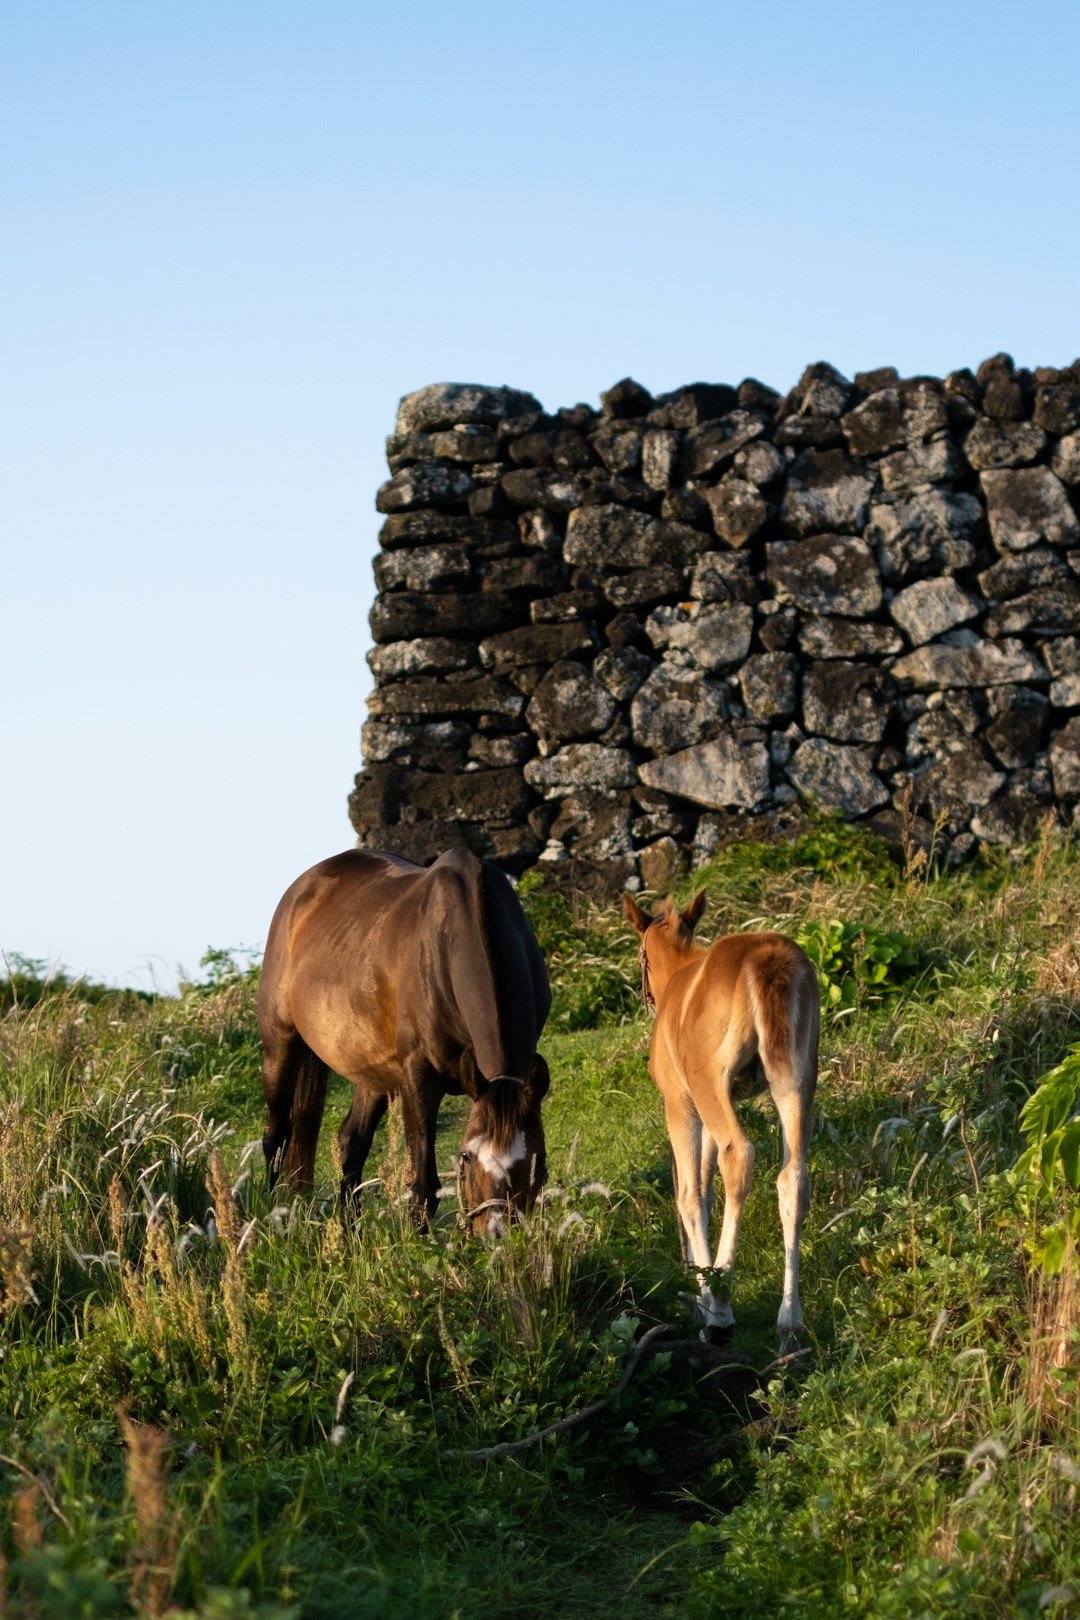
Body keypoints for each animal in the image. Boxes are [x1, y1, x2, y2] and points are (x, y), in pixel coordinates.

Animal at [258, 847, 551, 1233]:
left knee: (351, 1141)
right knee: (275, 1135)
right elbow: (424, 1184)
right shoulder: (419, 1074)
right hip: (279, 1046)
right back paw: (271, 1216)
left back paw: (351, 1230)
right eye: (466, 1156)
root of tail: (300, 890)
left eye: (537, 1159)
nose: (496, 1231)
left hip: (371, 1071)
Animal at [623, 889, 819, 1347]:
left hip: (709, 1084)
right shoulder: (719, 1101)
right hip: (796, 1080)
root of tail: (767, 960)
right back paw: (790, 1321)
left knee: (740, 1154)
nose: (644, 997)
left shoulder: (681, 1102)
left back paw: (722, 1307)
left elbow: (690, 1194)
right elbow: (707, 1187)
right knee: (793, 1179)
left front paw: (703, 1295)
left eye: (640, 957)